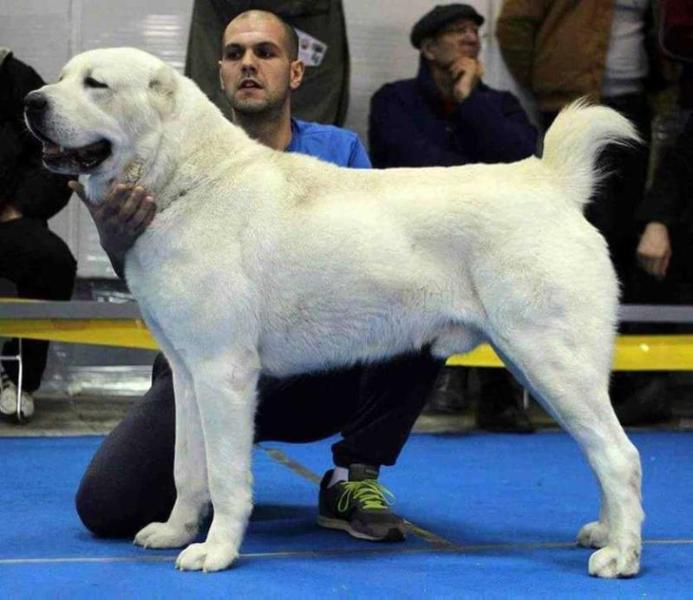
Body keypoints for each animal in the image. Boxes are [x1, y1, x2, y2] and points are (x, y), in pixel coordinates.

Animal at [25, 49, 644, 580]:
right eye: (62, 76)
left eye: (95, 84)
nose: (31, 102)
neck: (186, 180)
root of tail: (552, 182)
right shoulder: (186, 373)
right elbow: (187, 468)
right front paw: (177, 532)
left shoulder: (223, 373)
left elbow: (225, 476)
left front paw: (216, 552)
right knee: (602, 454)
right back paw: (605, 533)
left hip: (550, 360)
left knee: (620, 455)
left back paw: (622, 556)